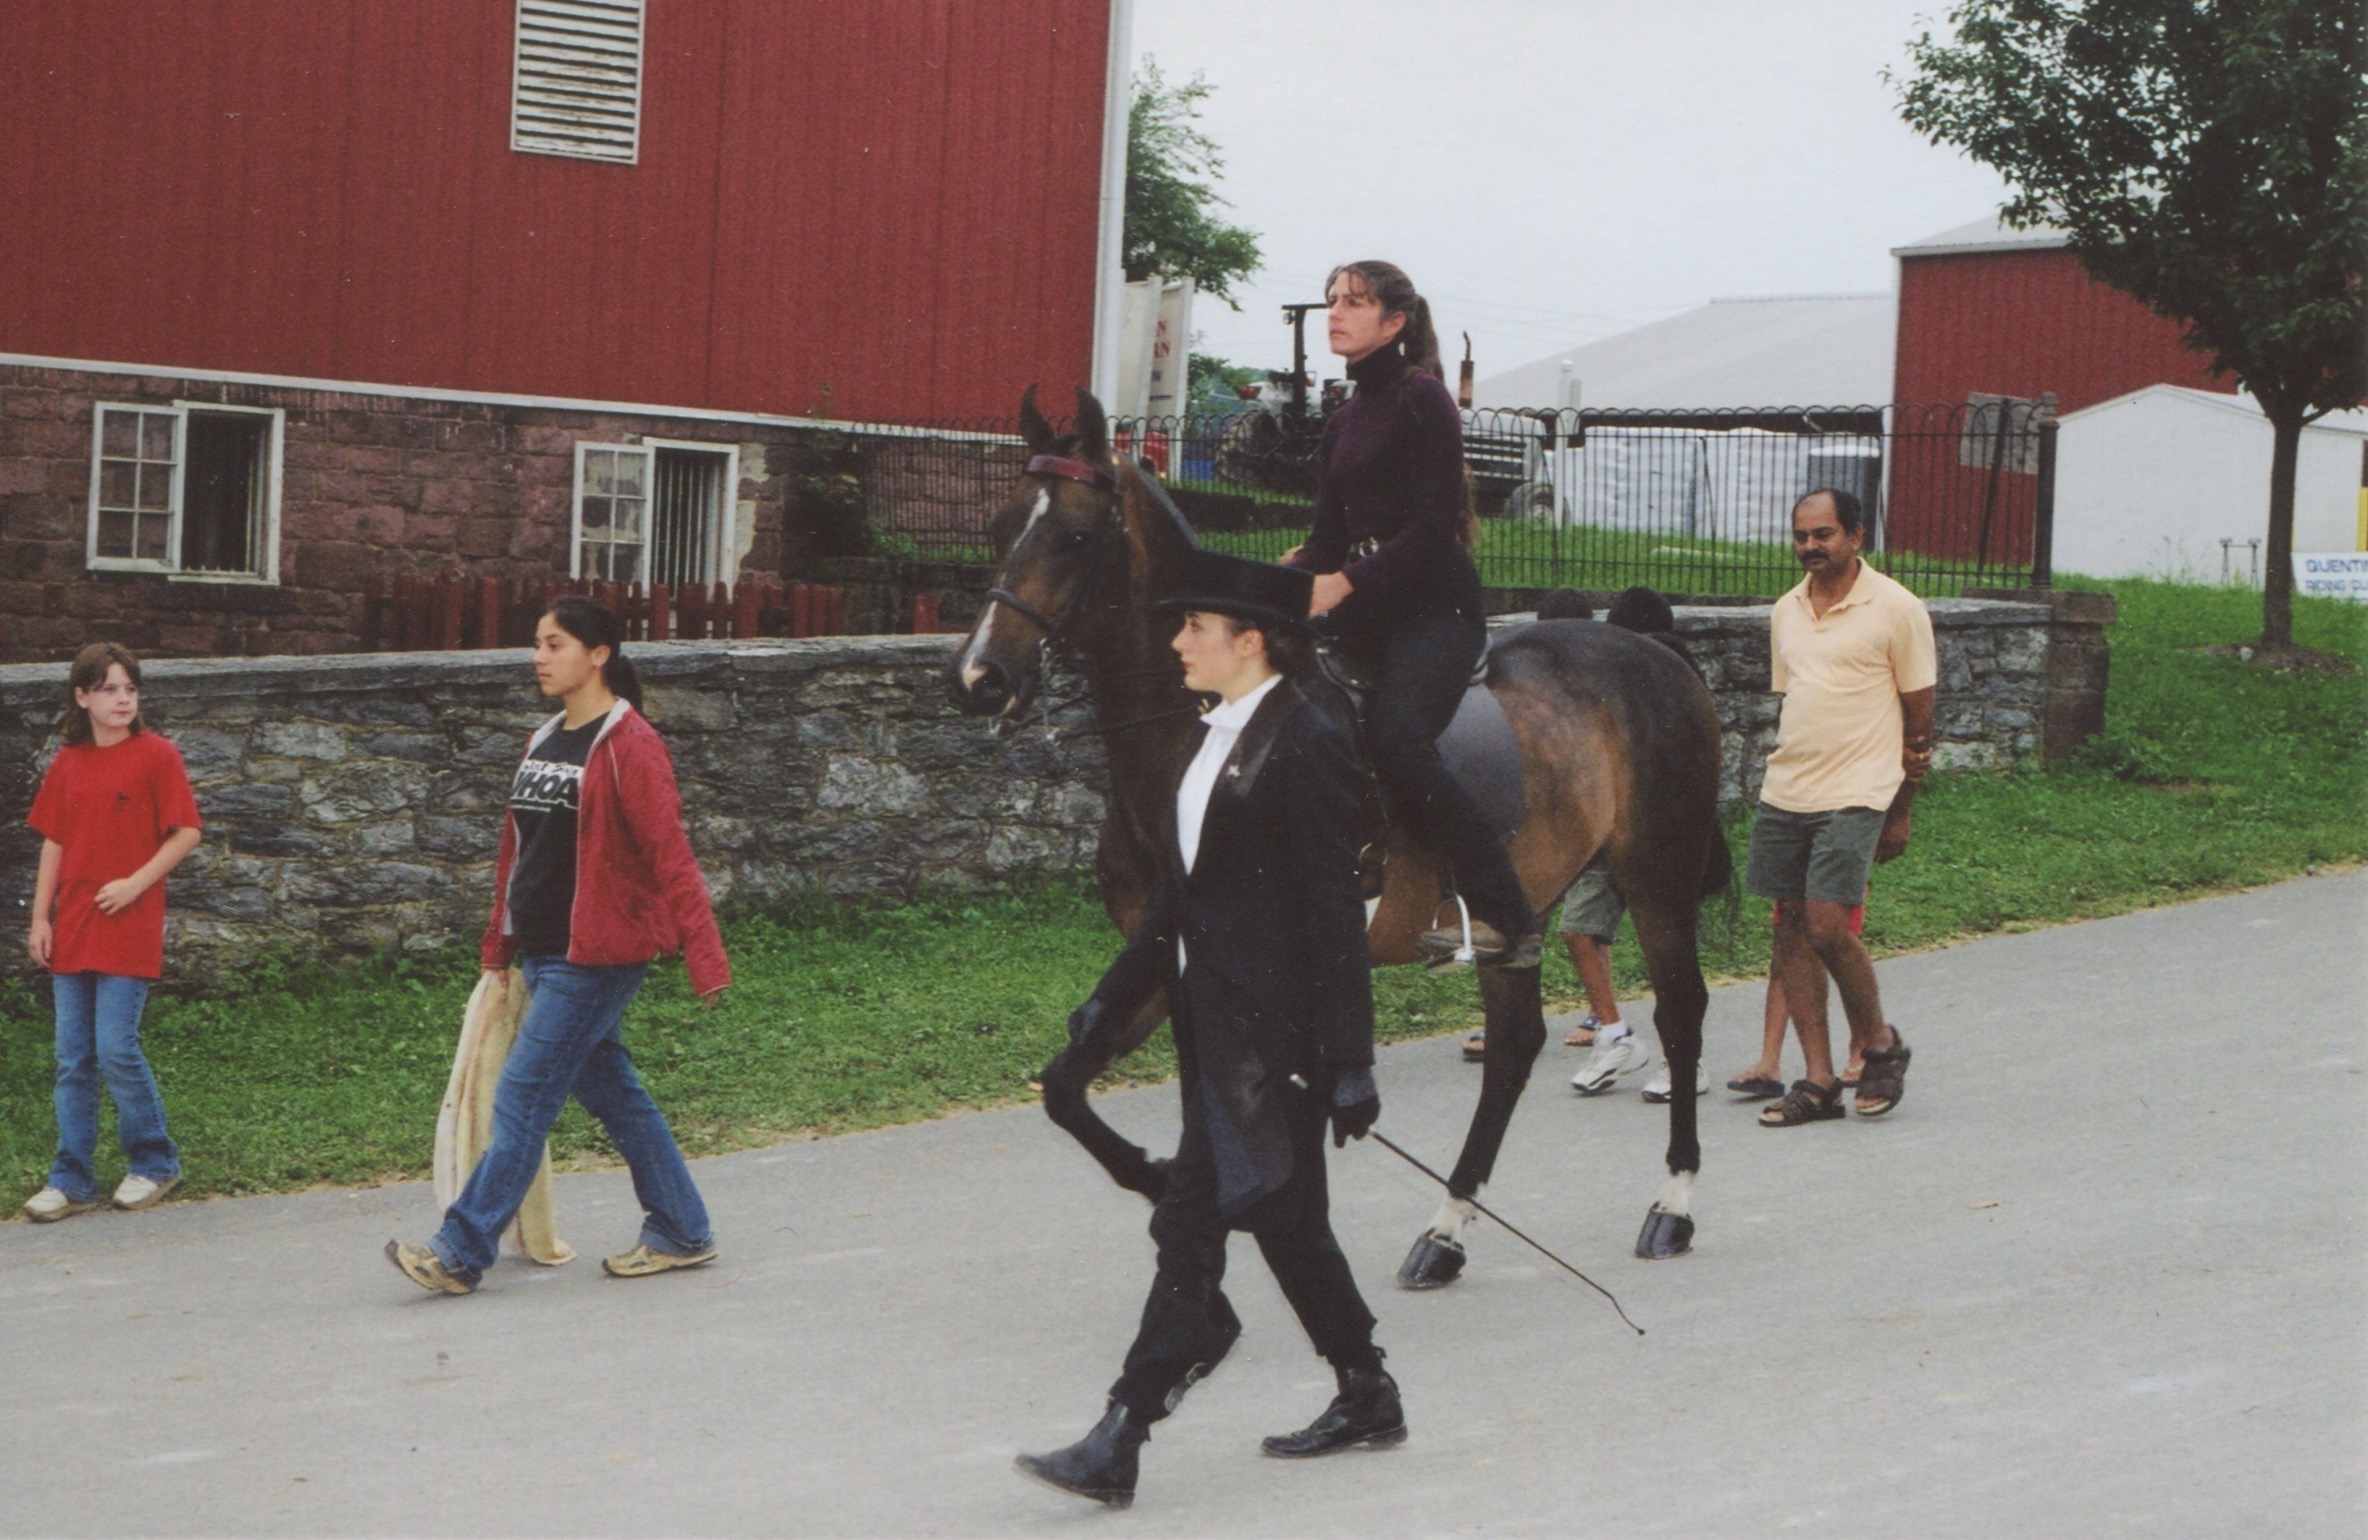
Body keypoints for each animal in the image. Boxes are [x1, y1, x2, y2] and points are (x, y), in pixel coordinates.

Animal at [947, 386, 1742, 1269]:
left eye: (1077, 537)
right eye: (998, 526)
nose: (980, 678)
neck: (1205, 730)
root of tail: (1657, 655)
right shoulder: (1171, 959)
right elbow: (1069, 1083)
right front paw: (1166, 1185)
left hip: (1656, 877)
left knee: (1679, 1013)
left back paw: (1672, 1204)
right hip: (1520, 903)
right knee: (1513, 1046)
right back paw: (1446, 1229)